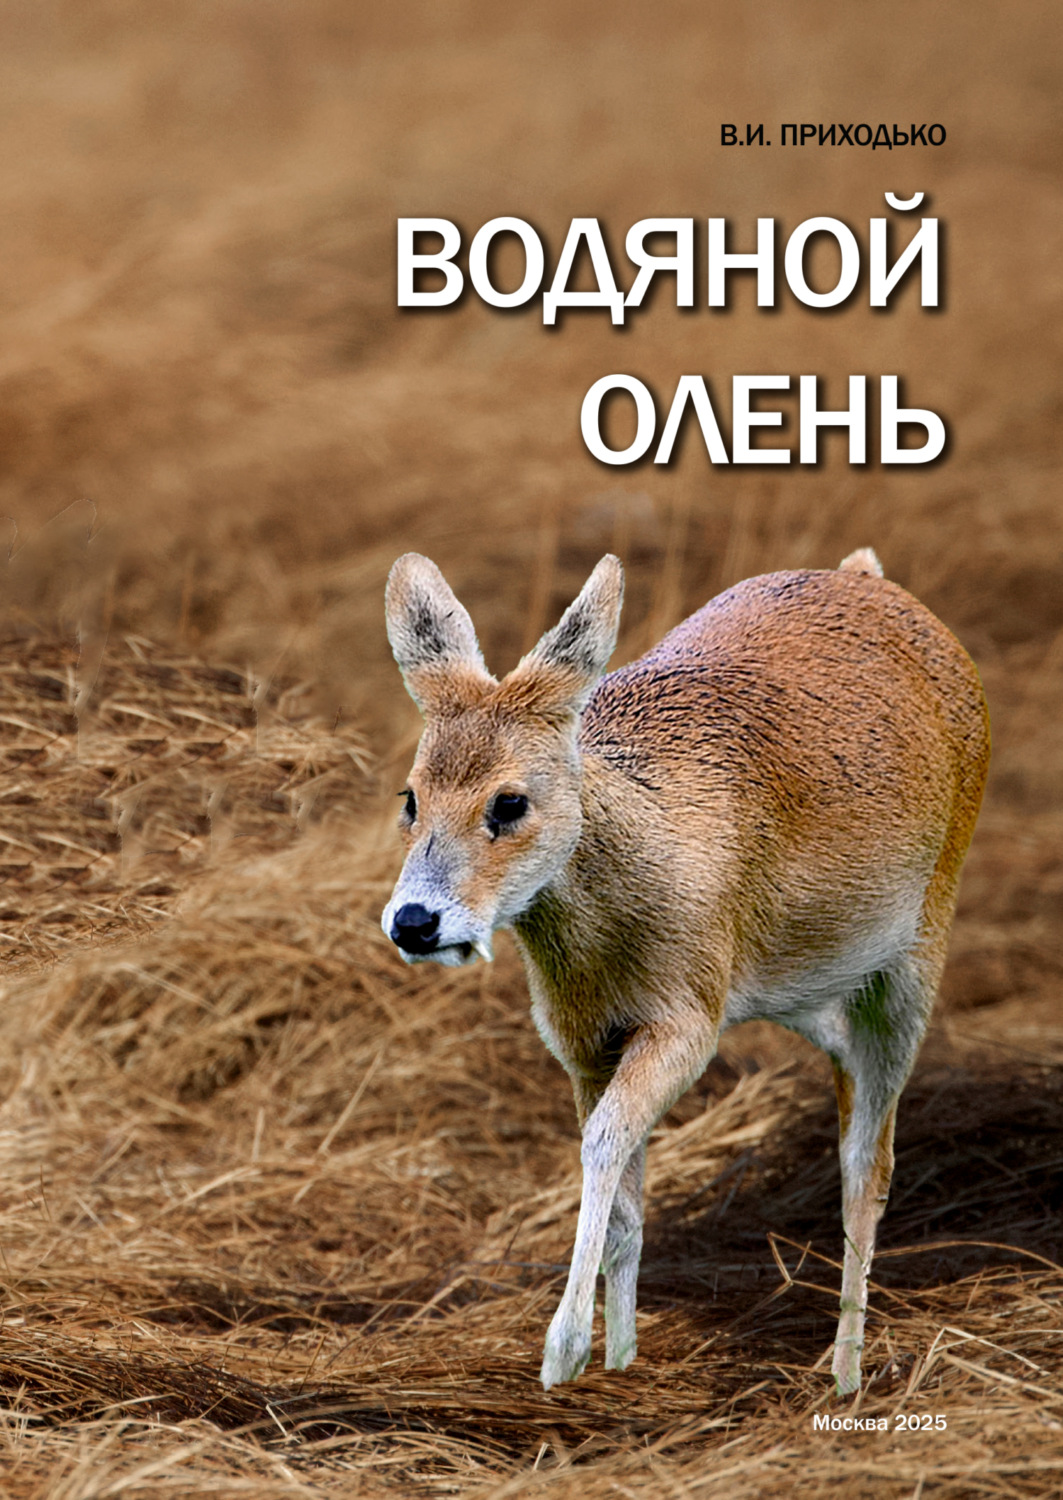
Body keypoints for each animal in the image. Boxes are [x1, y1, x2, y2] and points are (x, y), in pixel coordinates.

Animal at [381, 546, 989, 1396]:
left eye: (508, 803)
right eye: (410, 797)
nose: (414, 922)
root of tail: (869, 578)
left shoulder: (687, 1016)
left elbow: (603, 1143)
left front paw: (563, 1353)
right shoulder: (581, 1040)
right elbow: (627, 1196)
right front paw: (618, 1361)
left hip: (920, 948)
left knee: (868, 1166)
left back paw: (844, 1376)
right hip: (818, 992)